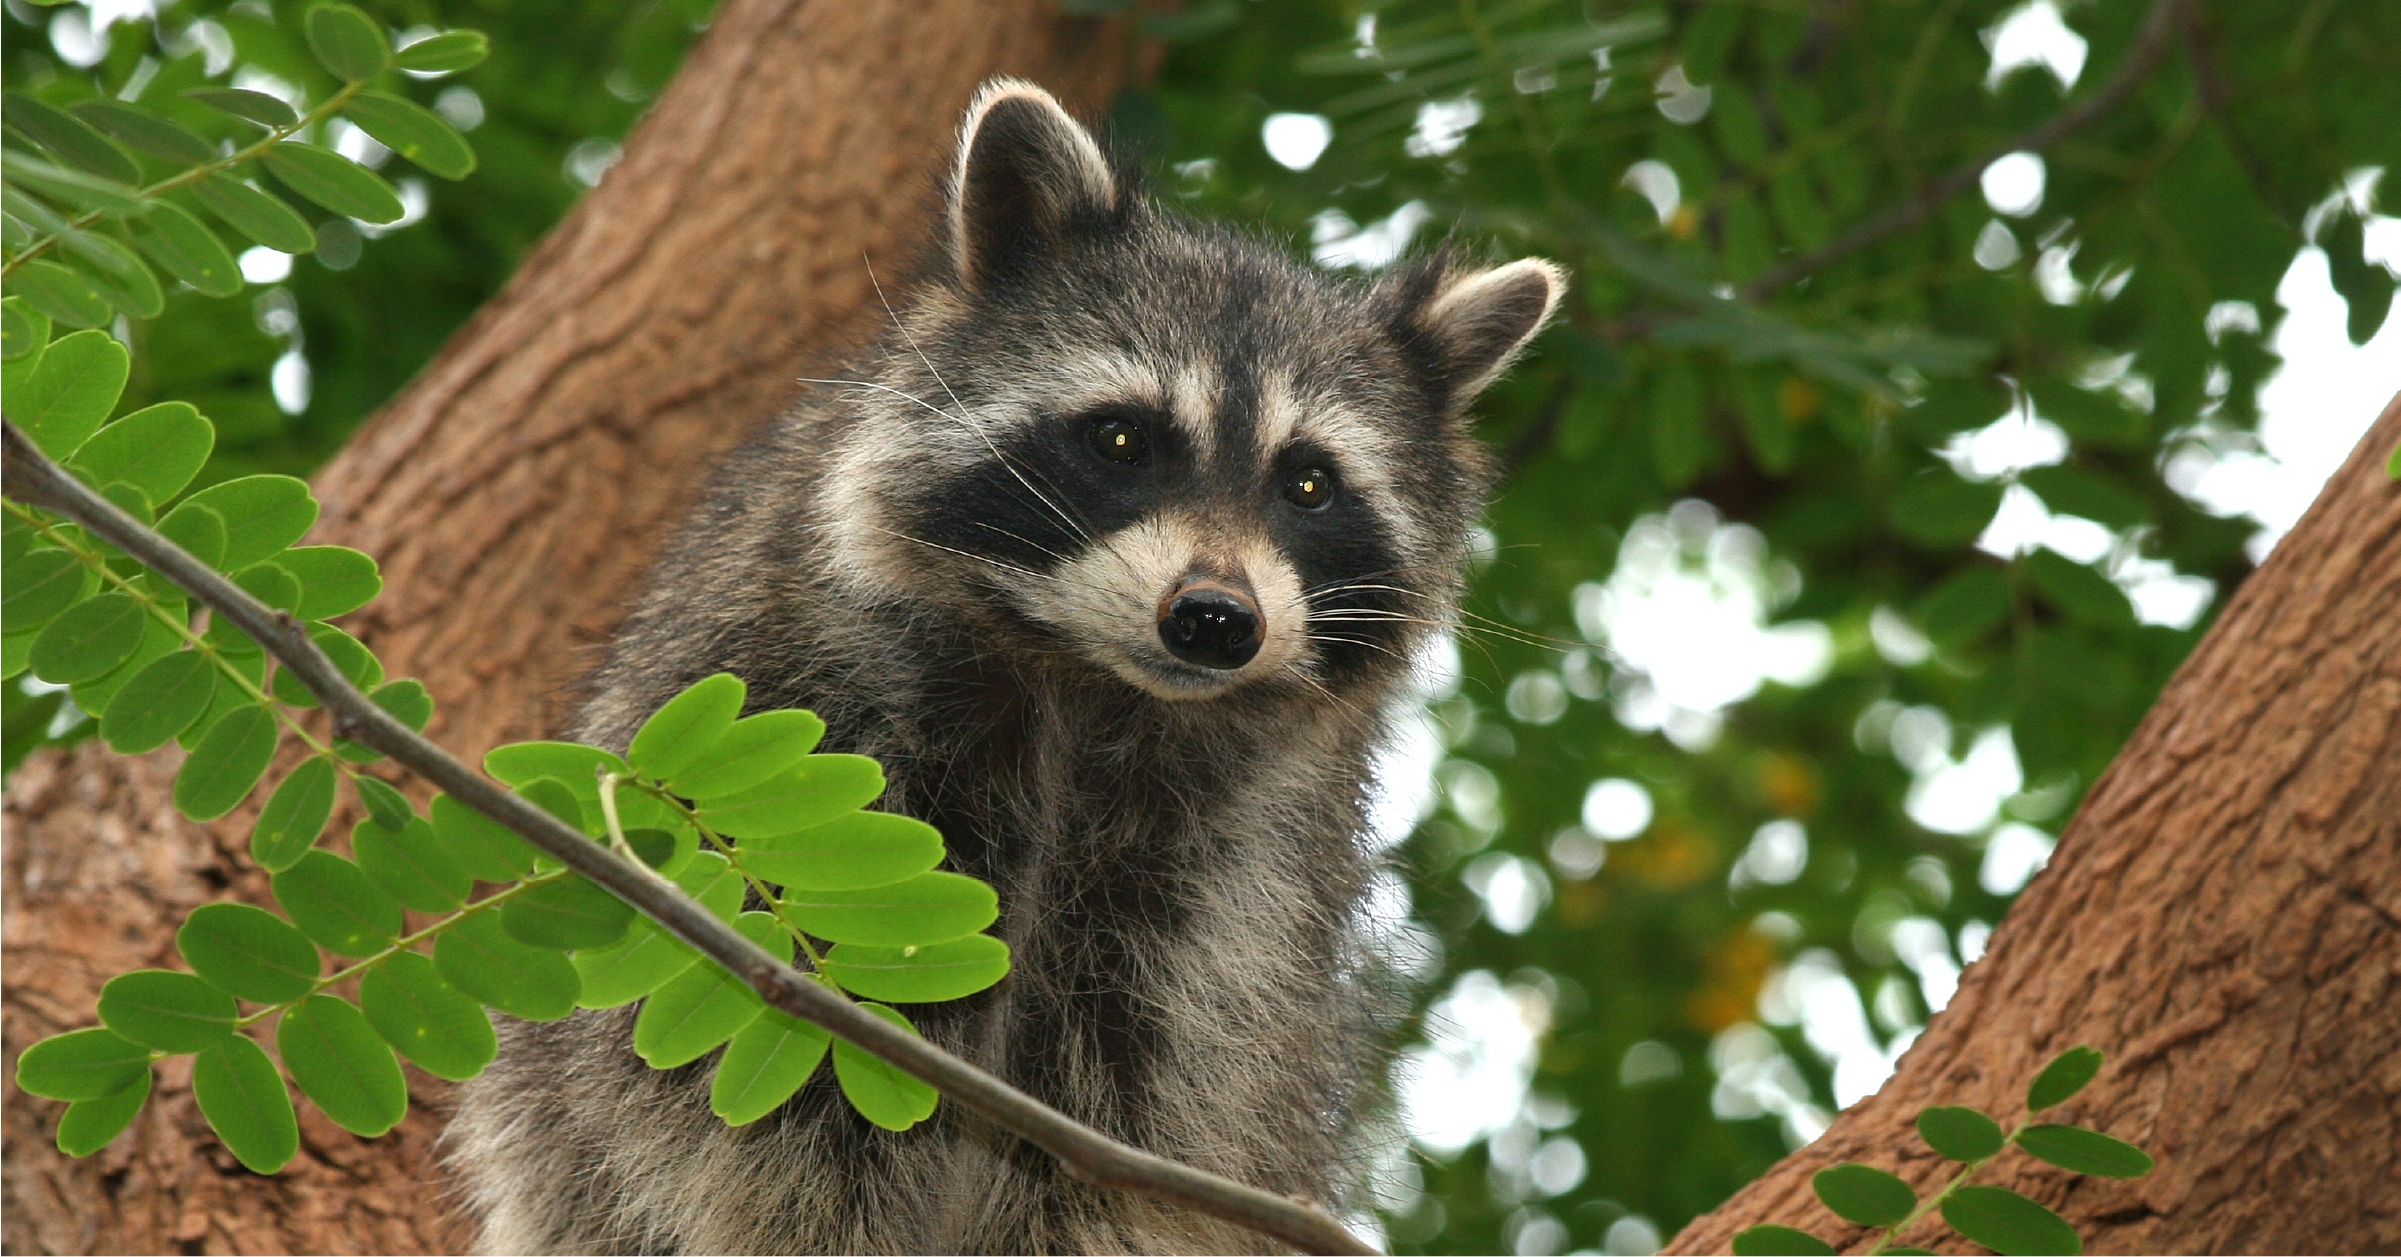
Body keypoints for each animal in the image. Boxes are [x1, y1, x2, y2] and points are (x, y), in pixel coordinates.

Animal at [446, 79, 1562, 1254]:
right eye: (1121, 440)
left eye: (1307, 485)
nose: (1215, 621)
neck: (1090, 683)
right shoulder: (808, 720)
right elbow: (755, 1132)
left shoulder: (1232, 885)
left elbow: (1143, 1140)